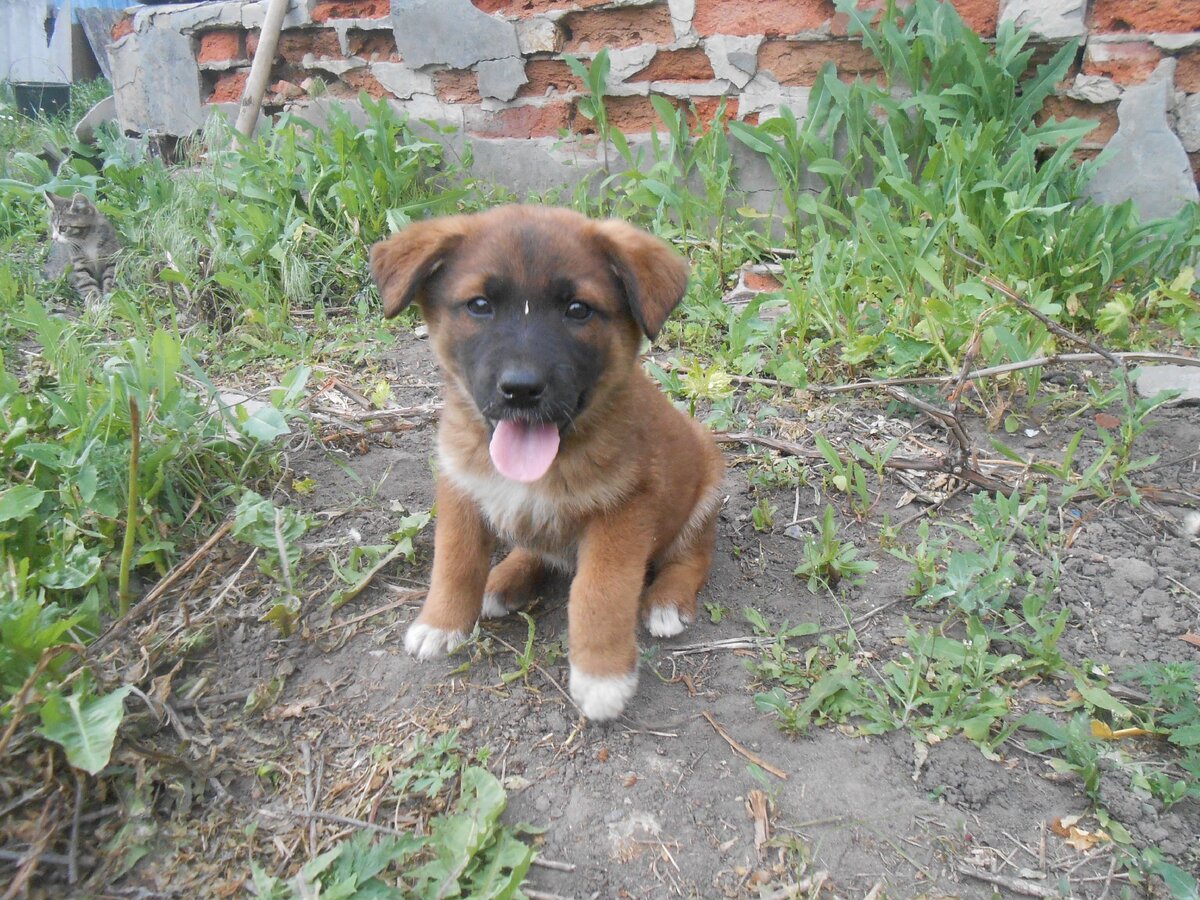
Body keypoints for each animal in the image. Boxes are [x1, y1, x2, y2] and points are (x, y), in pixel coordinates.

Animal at [369, 207, 720, 724]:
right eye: (479, 305)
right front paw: (441, 622)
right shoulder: (461, 485)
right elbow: (454, 561)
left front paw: (601, 677)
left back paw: (667, 602)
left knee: (692, 555)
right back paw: (503, 580)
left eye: (578, 310)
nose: (521, 389)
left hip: (706, 481)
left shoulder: (623, 512)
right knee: (534, 548)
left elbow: (600, 593)